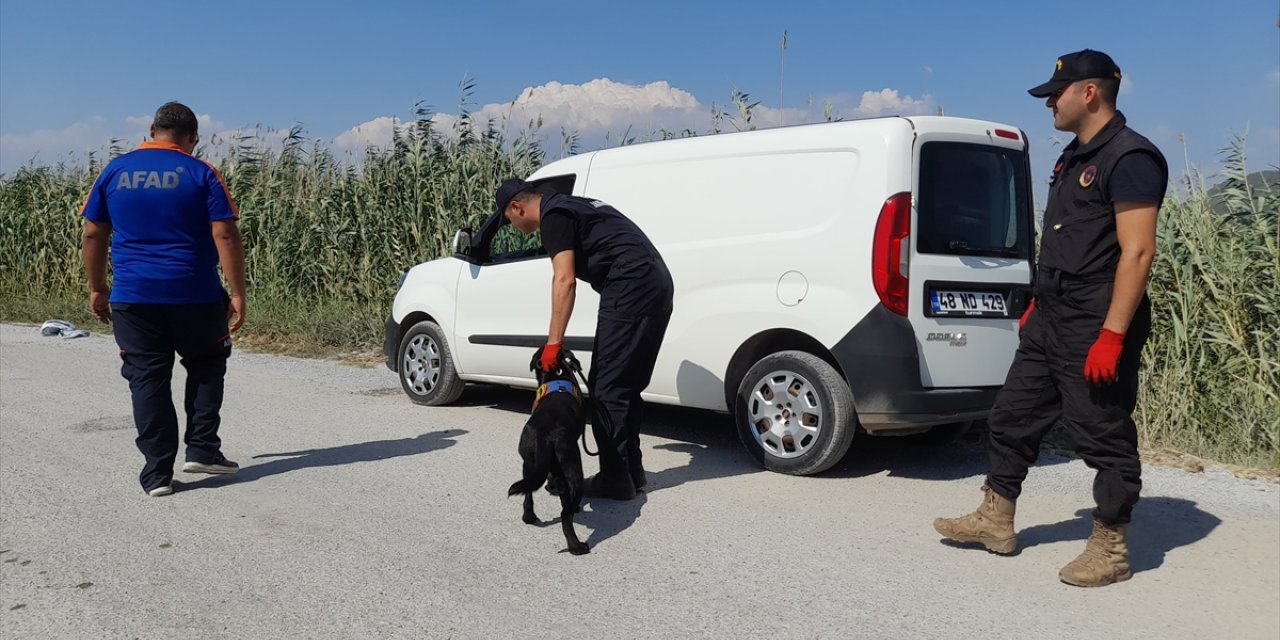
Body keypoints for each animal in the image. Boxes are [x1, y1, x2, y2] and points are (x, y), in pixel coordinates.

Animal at [509, 345, 588, 555]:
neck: (556, 375)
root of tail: (546, 434)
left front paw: (553, 487)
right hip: (573, 466)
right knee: (565, 515)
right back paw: (576, 546)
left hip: (529, 463)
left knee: (528, 494)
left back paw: (529, 517)